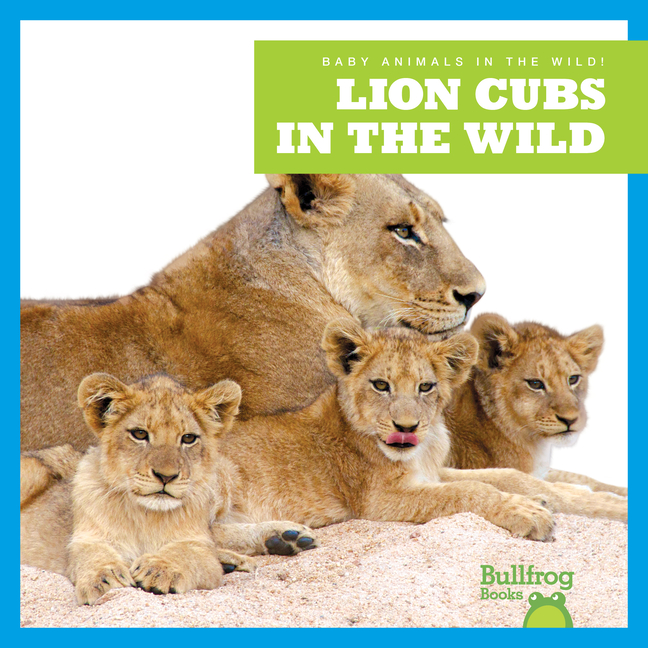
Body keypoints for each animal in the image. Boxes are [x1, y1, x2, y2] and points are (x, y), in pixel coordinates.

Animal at [21, 373, 318, 605]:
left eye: (188, 438)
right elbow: (93, 556)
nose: (166, 476)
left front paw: (160, 570)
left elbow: (190, 554)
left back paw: (286, 538)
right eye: (140, 434)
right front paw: (104, 579)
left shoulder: (196, 543)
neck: (145, 514)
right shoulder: (86, 539)